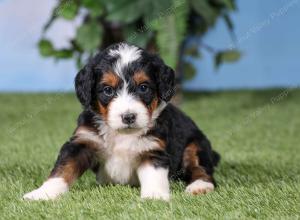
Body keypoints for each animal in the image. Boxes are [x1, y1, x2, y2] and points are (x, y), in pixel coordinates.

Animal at [23, 43, 219, 201]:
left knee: (202, 170)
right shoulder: (82, 142)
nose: (129, 117)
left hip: (195, 145)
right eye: (108, 90)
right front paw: (43, 193)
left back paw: (199, 186)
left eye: (143, 87)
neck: (122, 134)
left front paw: (154, 197)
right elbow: (63, 169)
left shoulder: (153, 148)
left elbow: (154, 175)